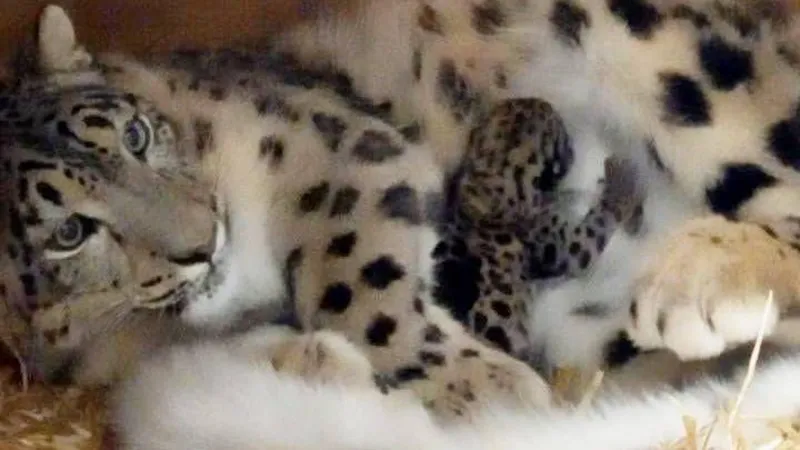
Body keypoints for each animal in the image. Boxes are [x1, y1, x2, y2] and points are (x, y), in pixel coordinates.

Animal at [0, 5, 551, 425]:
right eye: (69, 232)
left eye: (135, 134)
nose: (205, 243)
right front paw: (317, 361)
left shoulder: (335, 142)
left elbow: (355, 282)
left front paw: (491, 390)